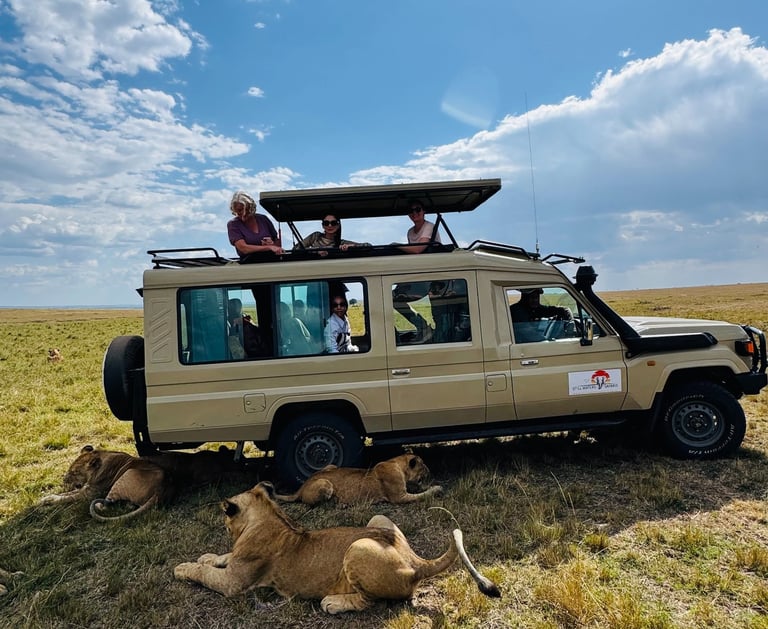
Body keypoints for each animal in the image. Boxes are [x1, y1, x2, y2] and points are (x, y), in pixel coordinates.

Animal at [174, 481, 500, 614]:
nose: (224, 527)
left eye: (224, 519)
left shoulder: (234, 583)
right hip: (378, 521)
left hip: (359, 547)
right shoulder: (236, 564)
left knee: (370, 601)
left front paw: (183, 567)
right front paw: (208, 555)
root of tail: (416, 562)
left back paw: (333, 603)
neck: (269, 515)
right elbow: (222, 556)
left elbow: (202, 573)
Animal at [272, 453, 443, 505]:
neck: (397, 463)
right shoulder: (399, 497)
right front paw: (437, 488)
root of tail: (301, 487)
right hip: (325, 484)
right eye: (425, 468)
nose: (432, 473)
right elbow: (423, 495)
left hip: (331, 465)